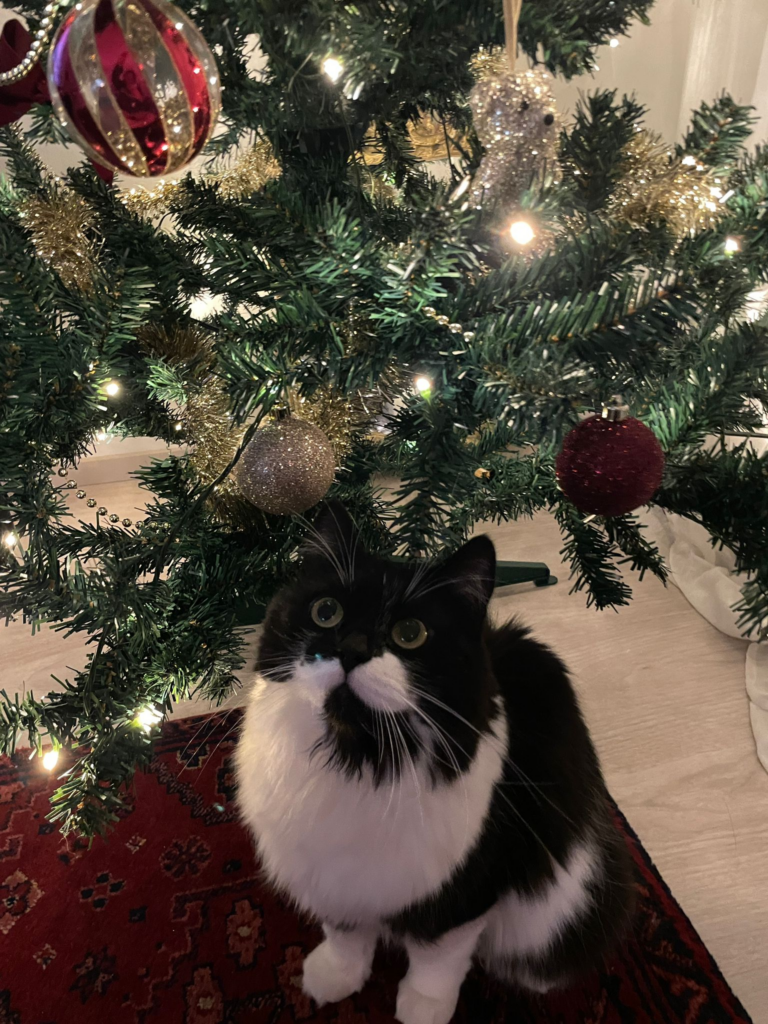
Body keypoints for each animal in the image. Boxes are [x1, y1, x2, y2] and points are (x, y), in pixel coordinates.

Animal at [235, 503, 635, 1024]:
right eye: (326, 611)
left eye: (411, 634)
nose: (351, 649)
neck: (360, 756)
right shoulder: (334, 880)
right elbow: (345, 938)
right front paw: (335, 979)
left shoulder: (464, 895)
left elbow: (436, 960)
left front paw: (422, 1009)